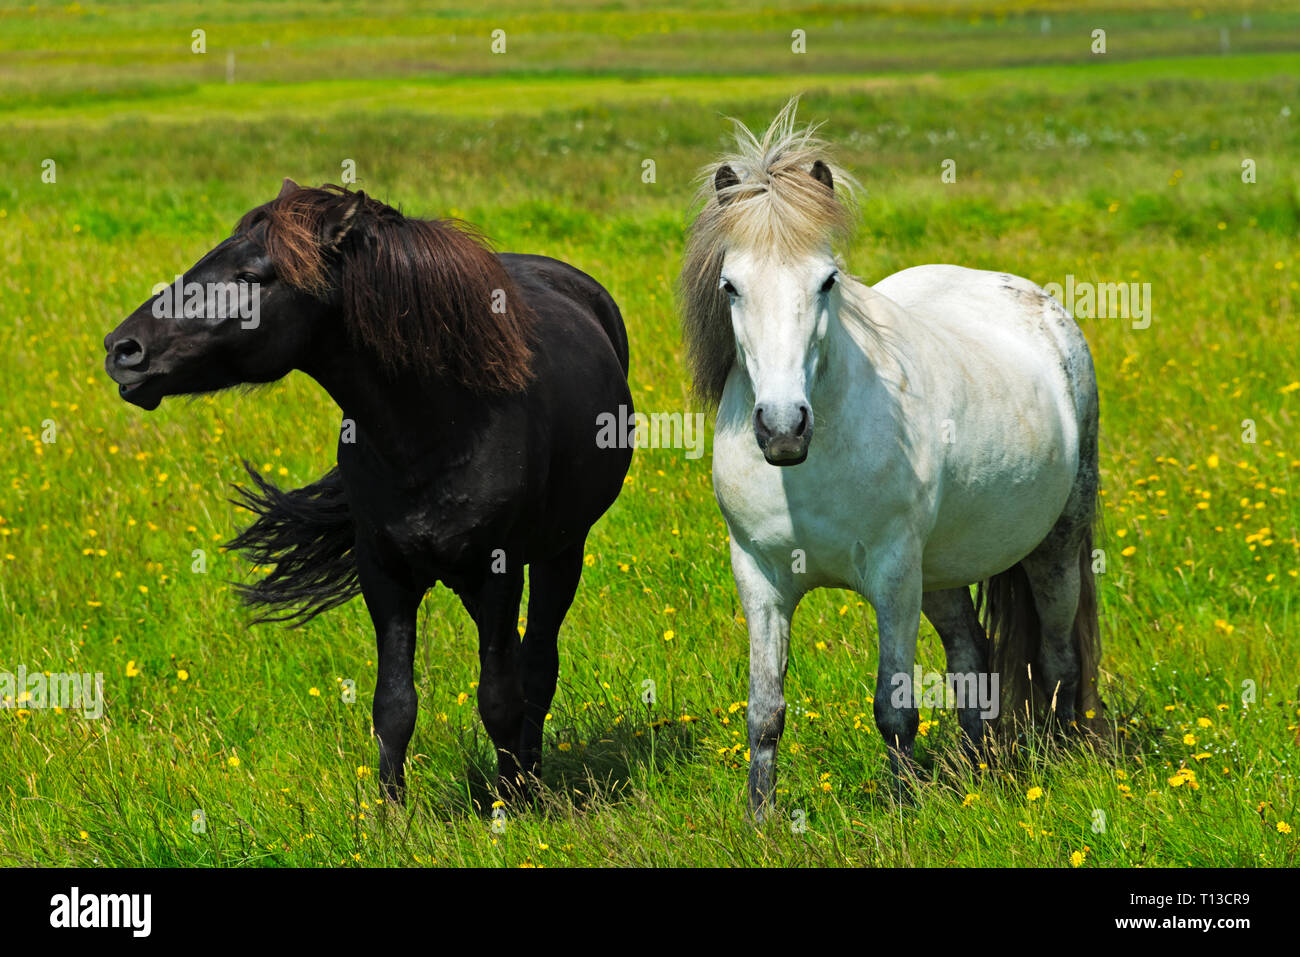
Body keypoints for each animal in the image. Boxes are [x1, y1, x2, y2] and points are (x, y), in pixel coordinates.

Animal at [104, 180, 634, 803]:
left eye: (253, 275)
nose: (122, 350)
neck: (442, 426)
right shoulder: (384, 574)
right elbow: (394, 707)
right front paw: (391, 815)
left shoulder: (499, 573)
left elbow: (500, 697)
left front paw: (511, 807)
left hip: (561, 551)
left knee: (537, 665)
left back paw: (530, 782)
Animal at [679, 100, 1102, 817]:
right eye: (731, 286)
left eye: (827, 280)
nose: (783, 427)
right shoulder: (760, 577)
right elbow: (765, 711)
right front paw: (760, 819)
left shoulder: (894, 575)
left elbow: (894, 709)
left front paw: (902, 812)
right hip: (944, 571)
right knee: (971, 653)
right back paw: (976, 768)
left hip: (1054, 546)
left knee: (1057, 654)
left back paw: (1060, 757)